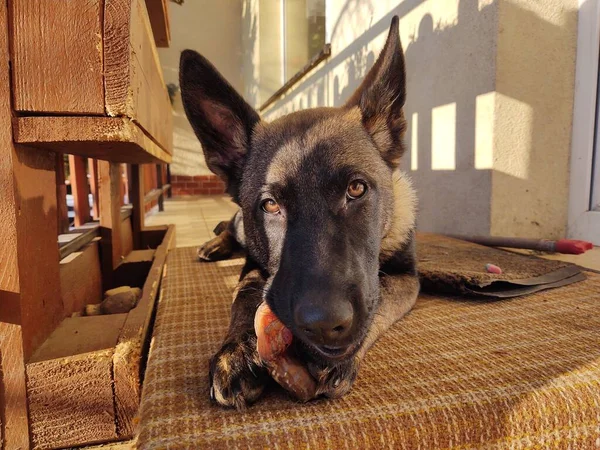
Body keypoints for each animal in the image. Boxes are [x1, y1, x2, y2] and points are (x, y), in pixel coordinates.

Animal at [180, 15, 420, 408]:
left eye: (356, 189)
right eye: (270, 205)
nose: (323, 324)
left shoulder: (407, 277)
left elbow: (381, 295)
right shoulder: (254, 264)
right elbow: (245, 294)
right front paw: (236, 351)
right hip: (242, 228)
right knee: (231, 226)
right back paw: (215, 244)